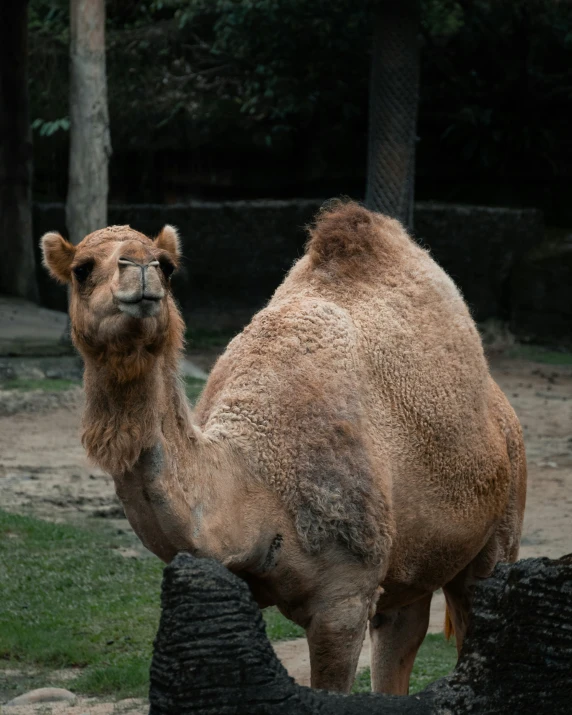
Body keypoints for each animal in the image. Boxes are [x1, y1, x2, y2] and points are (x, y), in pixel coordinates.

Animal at [41, 201, 528, 692]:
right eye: (82, 269)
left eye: (167, 265)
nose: (140, 268)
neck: (254, 479)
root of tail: (503, 409)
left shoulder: (344, 598)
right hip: (412, 559)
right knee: (401, 628)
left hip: (502, 523)